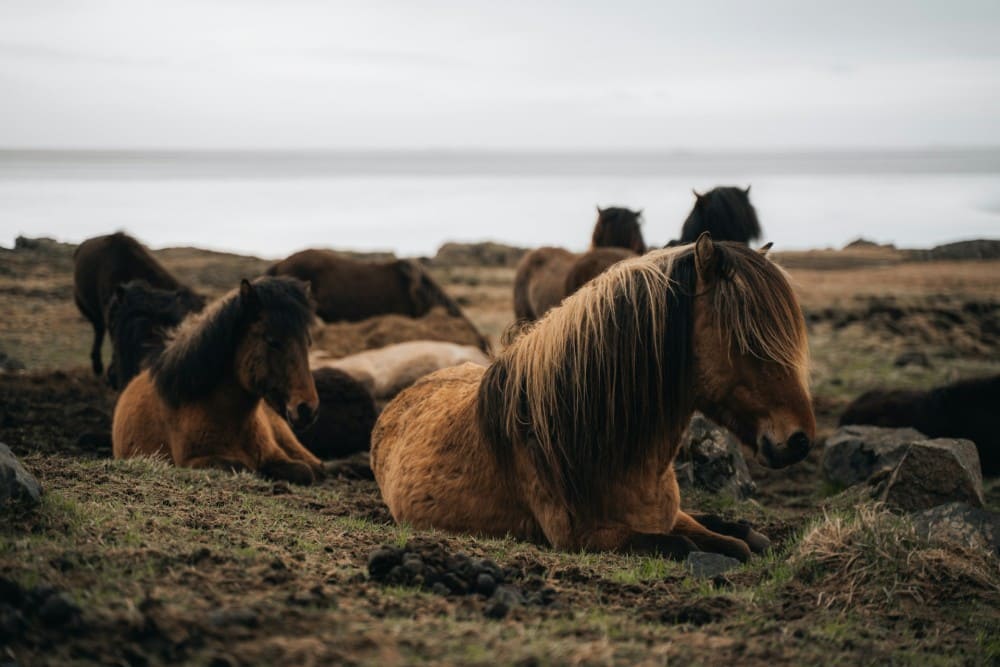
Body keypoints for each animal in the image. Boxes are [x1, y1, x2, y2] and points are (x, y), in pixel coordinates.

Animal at [372, 234, 814, 560]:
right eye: (746, 343)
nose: (799, 440)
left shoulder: (666, 514)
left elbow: (737, 541)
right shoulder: (586, 536)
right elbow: (688, 545)